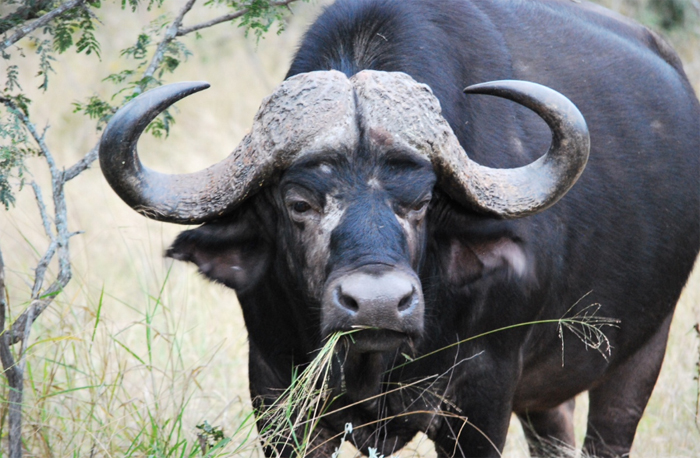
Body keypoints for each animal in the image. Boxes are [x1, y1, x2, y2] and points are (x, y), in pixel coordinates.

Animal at [99, 0, 700, 457]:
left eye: (424, 200)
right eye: (298, 202)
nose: (379, 304)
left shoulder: (482, 401)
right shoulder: (277, 397)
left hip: (642, 353)